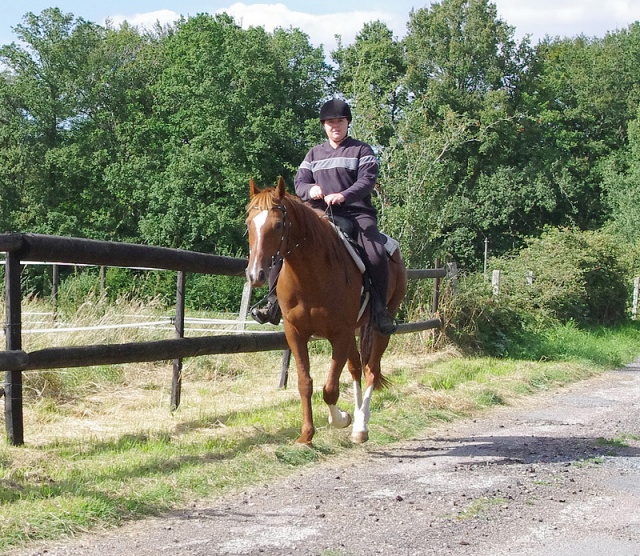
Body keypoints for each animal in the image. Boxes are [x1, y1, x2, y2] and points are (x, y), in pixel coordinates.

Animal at [245, 176, 404, 446]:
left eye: (278, 225)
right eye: (248, 223)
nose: (256, 275)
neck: (310, 274)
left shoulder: (339, 334)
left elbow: (330, 389)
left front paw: (341, 419)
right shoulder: (296, 333)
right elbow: (305, 383)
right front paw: (306, 435)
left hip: (378, 328)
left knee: (371, 371)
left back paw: (361, 426)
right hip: (353, 332)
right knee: (356, 368)